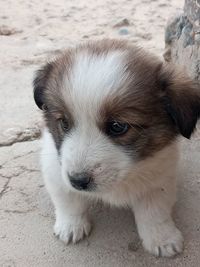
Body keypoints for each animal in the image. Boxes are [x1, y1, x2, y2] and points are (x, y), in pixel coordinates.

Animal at [33, 39, 200, 258]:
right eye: (64, 123)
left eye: (118, 126)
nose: (78, 181)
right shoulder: (55, 170)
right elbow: (68, 200)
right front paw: (71, 226)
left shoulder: (160, 180)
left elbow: (154, 212)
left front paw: (162, 238)